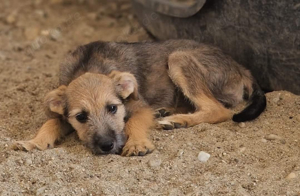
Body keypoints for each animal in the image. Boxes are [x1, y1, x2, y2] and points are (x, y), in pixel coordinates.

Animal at [12, 39, 264, 156]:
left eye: (113, 108)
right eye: (81, 117)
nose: (107, 146)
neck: (87, 66)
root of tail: (241, 68)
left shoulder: (139, 106)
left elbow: (133, 122)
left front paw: (137, 144)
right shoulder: (63, 114)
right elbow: (50, 122)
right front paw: (33, 142)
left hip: (178, 58)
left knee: (219, 110)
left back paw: (176, 120)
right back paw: (167, 113)